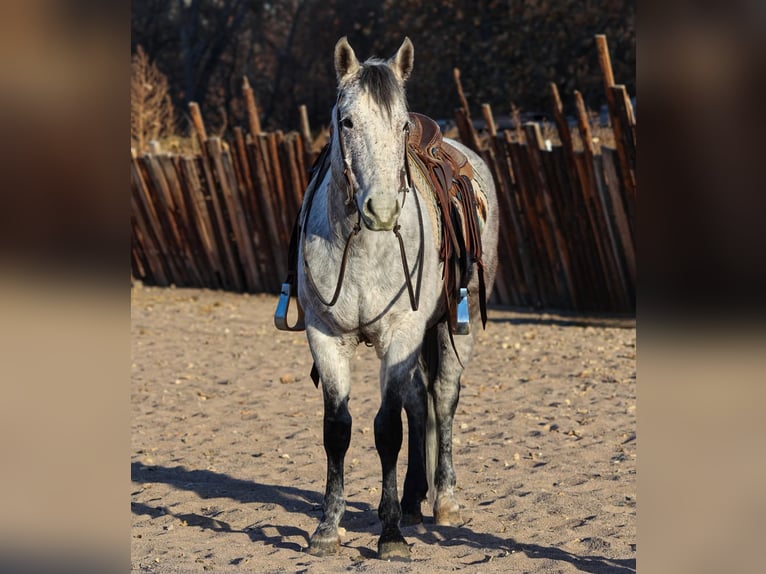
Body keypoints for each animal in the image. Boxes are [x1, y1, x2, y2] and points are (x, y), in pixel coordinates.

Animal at [276, 37, 504, 564]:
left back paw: (443, 499)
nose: (381, 210)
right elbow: (338, 429)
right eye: (346, 121)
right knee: (419, 401)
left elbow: (387, 431)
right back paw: (416, 497)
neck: (363, 246)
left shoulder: (401, 333)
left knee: (443, 397)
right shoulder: (325, 336)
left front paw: (392, 534)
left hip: (452, 327)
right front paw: (328, 528)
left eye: (400, 125)